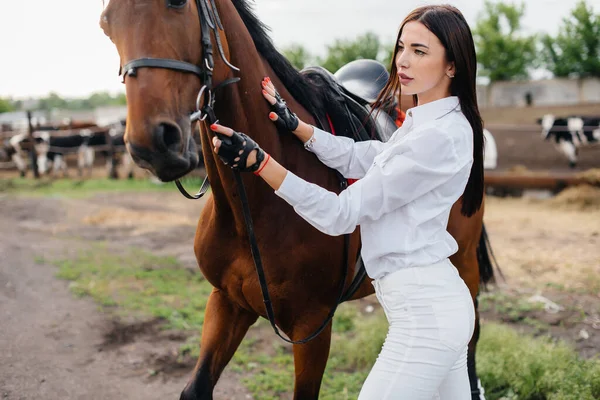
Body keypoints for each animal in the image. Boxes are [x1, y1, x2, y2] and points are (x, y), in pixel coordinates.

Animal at [101, 1, 494, 398]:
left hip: (464, 265)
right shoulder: (227, 302)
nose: (153, 144)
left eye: (178, 4)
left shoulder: (312, 326)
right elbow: (196, 387)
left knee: (471, 335)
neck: (252, 213)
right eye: (106, 23)